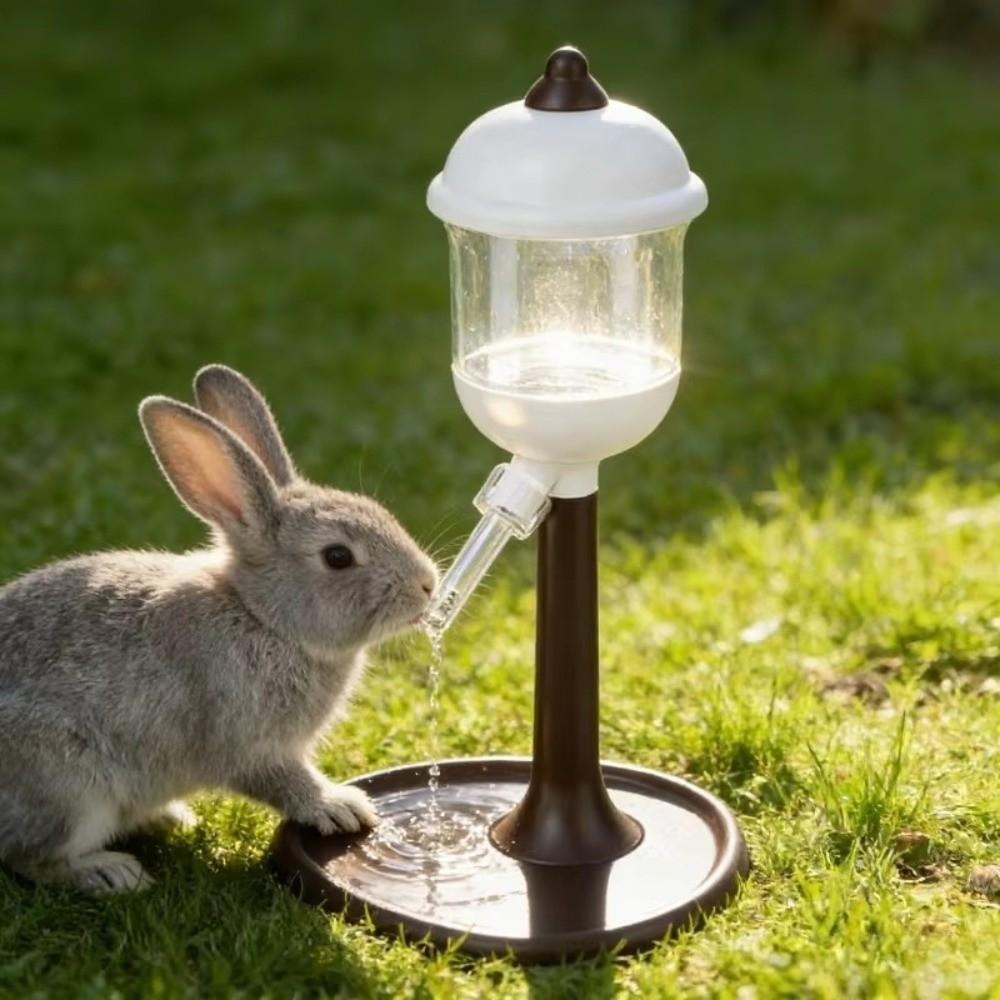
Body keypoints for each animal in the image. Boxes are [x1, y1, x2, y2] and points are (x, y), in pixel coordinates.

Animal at [0, 364, 438, 894]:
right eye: (337, 556)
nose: (427, 584)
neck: (261, 616)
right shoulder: (251, 742)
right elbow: (284, 780)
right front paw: (341, 808)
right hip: (68, 786)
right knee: (31, 856)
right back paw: (109, 871)